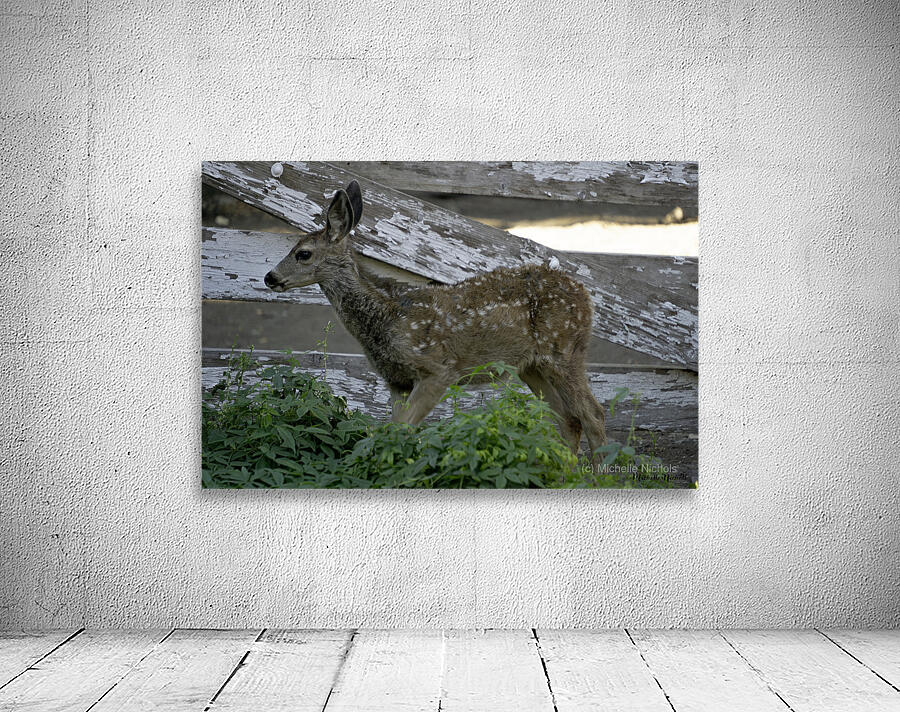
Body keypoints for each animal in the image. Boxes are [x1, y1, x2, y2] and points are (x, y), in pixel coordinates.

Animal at [264, 180, 607, 466]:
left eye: (303, 253)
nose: (270, 277)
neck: (387, 315)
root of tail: (586, 295)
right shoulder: (396, 380)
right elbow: (393, 432)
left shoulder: (438, 369)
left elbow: (402, 430)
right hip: (532, 366)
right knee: (569, 420)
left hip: (564, 350)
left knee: (593, 414)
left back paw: (599, 476)